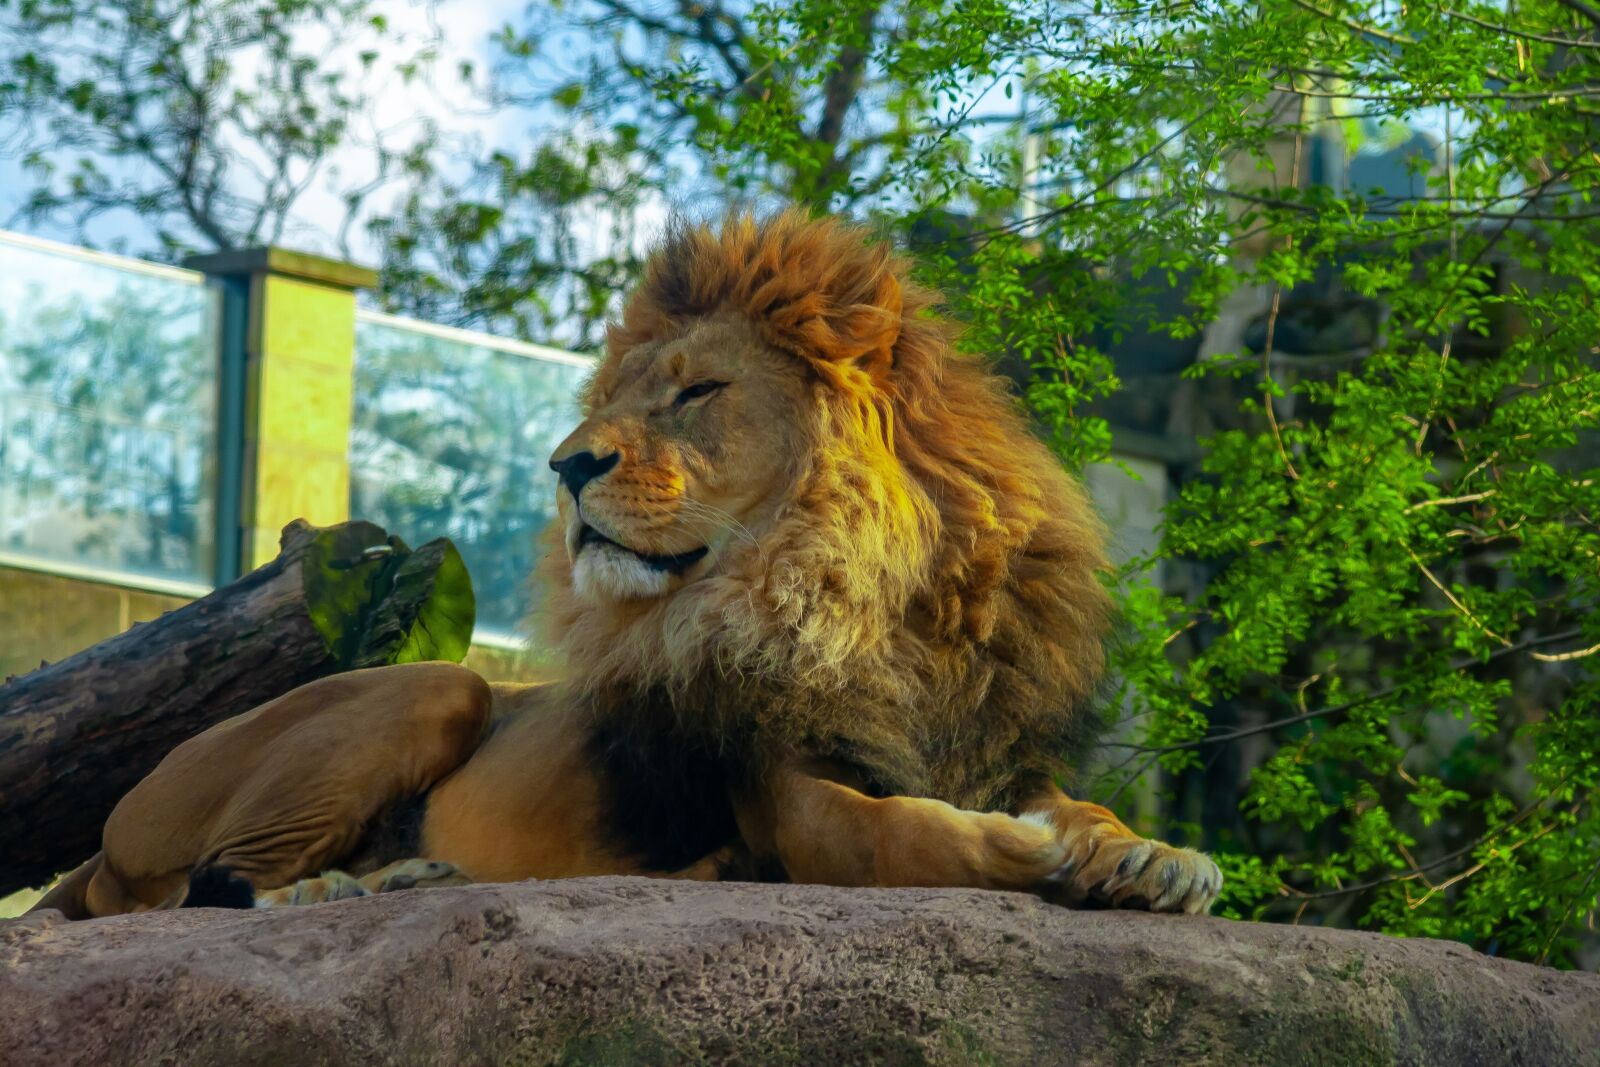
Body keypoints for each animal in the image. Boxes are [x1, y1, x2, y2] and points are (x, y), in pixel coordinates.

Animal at [36, 211, 1220, 920]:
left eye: (696, 392)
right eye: (611, 402)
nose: (566, 465)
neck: (863, 607)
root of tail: (99, 836)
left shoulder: (996, 750)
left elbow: (1082, 807)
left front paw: (1153, 856)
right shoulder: (786, 793)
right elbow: (906, 834)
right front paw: (1033, 857)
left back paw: (406, 870)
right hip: (434, 684)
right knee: (206, 887)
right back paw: (338, 892)